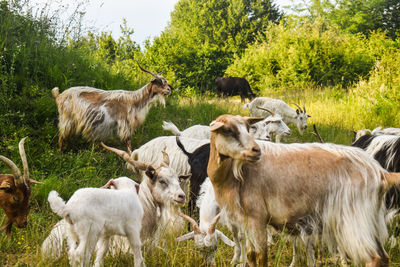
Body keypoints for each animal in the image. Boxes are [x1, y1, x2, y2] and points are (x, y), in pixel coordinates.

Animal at [206, 114, 400, 267]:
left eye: (247, 129)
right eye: (228, 131)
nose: (256, 151)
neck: (233, 175)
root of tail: (381, 173)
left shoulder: (257, 218)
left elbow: (261, 257)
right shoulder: (246, 221)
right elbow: (251, 255)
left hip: (354, 220)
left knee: (374, 258)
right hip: (370, 221)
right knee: (384, 257)